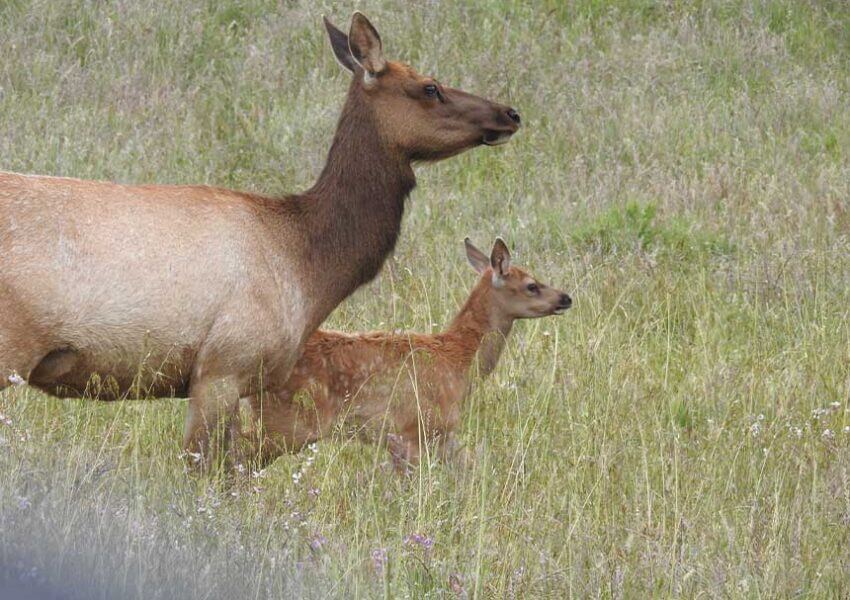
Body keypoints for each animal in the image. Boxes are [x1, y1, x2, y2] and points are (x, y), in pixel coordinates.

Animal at [234, 238, 572, 470]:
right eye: (531, 285)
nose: (566, 298)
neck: (458, 361)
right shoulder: (416, 429)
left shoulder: (440, 435)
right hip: (288, 422)